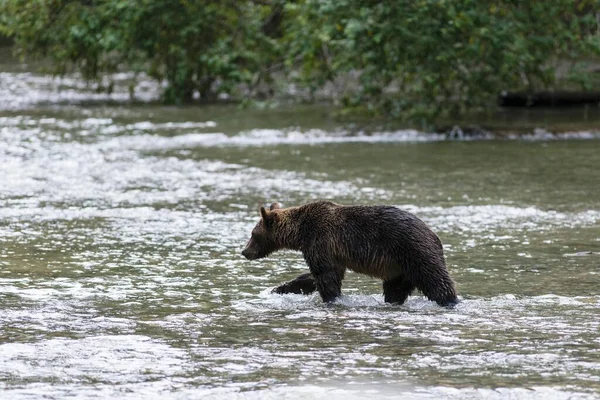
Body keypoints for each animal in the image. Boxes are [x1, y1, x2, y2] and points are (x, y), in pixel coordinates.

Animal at [241, 200, 458, 306]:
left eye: (253, 234)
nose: (244, 251)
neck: (300, 232)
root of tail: (435, 236)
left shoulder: (320, 240)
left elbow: (325, 275)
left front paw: (332, 298)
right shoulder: (331, 252)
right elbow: (314, 276)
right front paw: (279, 288)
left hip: (413, 250)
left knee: (435, 280)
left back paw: (450, 301)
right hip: (398, 269)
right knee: (395, 290)